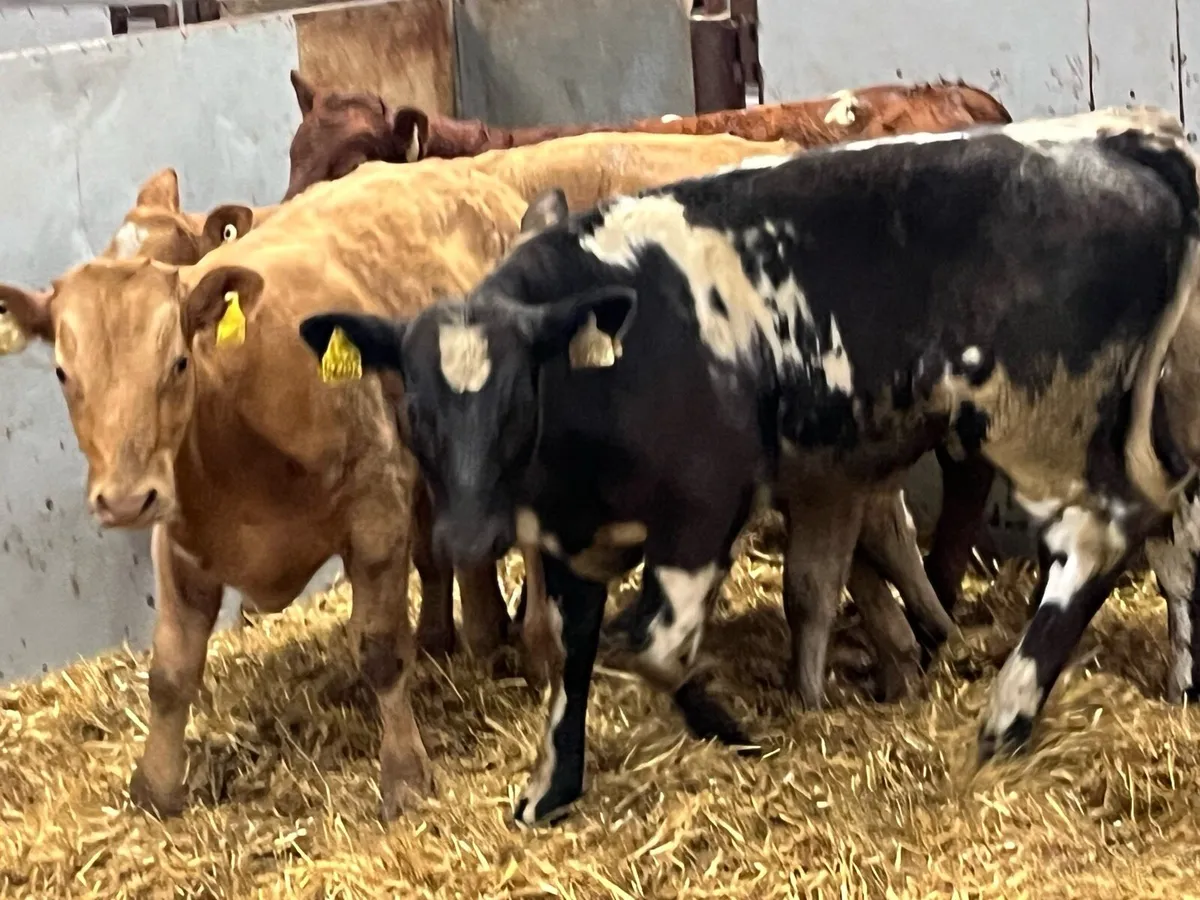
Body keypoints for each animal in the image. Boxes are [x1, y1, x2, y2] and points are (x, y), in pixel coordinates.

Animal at [296, 106, 1200, 825]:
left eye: (521, 397)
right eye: (415, 410)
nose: (465, 537)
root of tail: (1120, 141)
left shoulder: (705, 505)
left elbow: (648, 644)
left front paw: (731, 728)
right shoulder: (574, 539)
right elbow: (578, 652)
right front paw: (552, 787)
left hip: (1036, 417)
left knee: (1098, 536)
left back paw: (1007, 713)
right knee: (1168, 530)